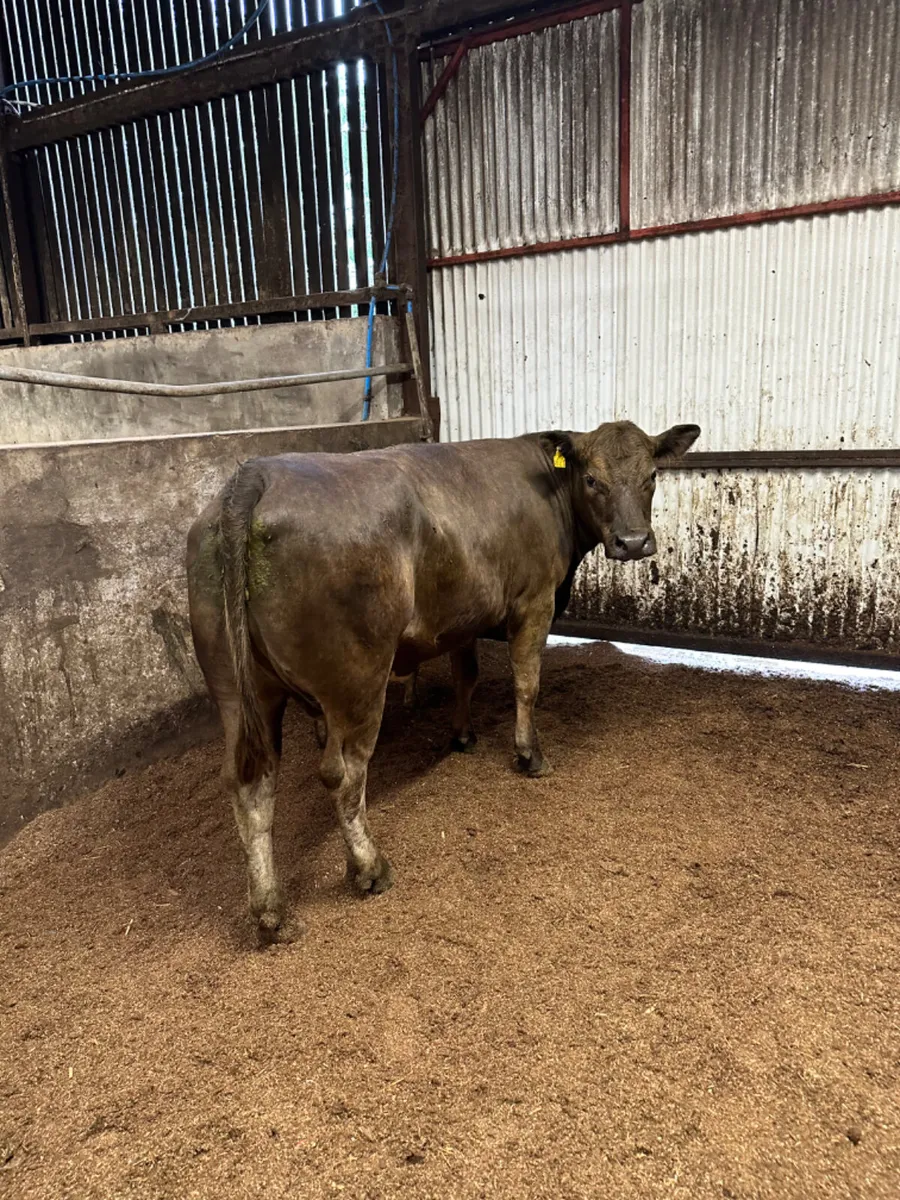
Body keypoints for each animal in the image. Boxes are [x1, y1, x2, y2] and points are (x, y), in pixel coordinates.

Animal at [187, 419, 700, 943]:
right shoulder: (535, 601)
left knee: (250, 783)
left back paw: (270, 912)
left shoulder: (464, 617)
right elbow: (526, 683)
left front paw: (463, 735)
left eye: (652, 475)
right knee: (343, 774)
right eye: (593, 479)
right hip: (357, 681)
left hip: (239, 692)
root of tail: (256, 475)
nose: (633, 542)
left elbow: (466, 675)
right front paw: (529, 754)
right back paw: (369, 868)